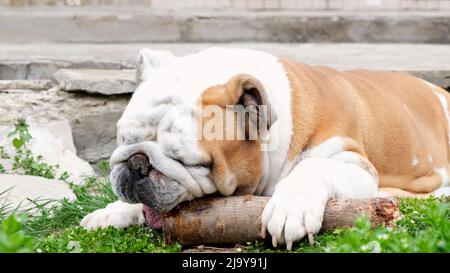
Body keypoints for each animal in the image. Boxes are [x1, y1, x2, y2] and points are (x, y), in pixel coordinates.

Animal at [81, 47, 450, 249]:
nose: (138, 164)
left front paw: (289, 210)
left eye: (192, 162)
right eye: (125, 140)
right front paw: (112, 211)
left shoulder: (352, 164)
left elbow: (312, 168)